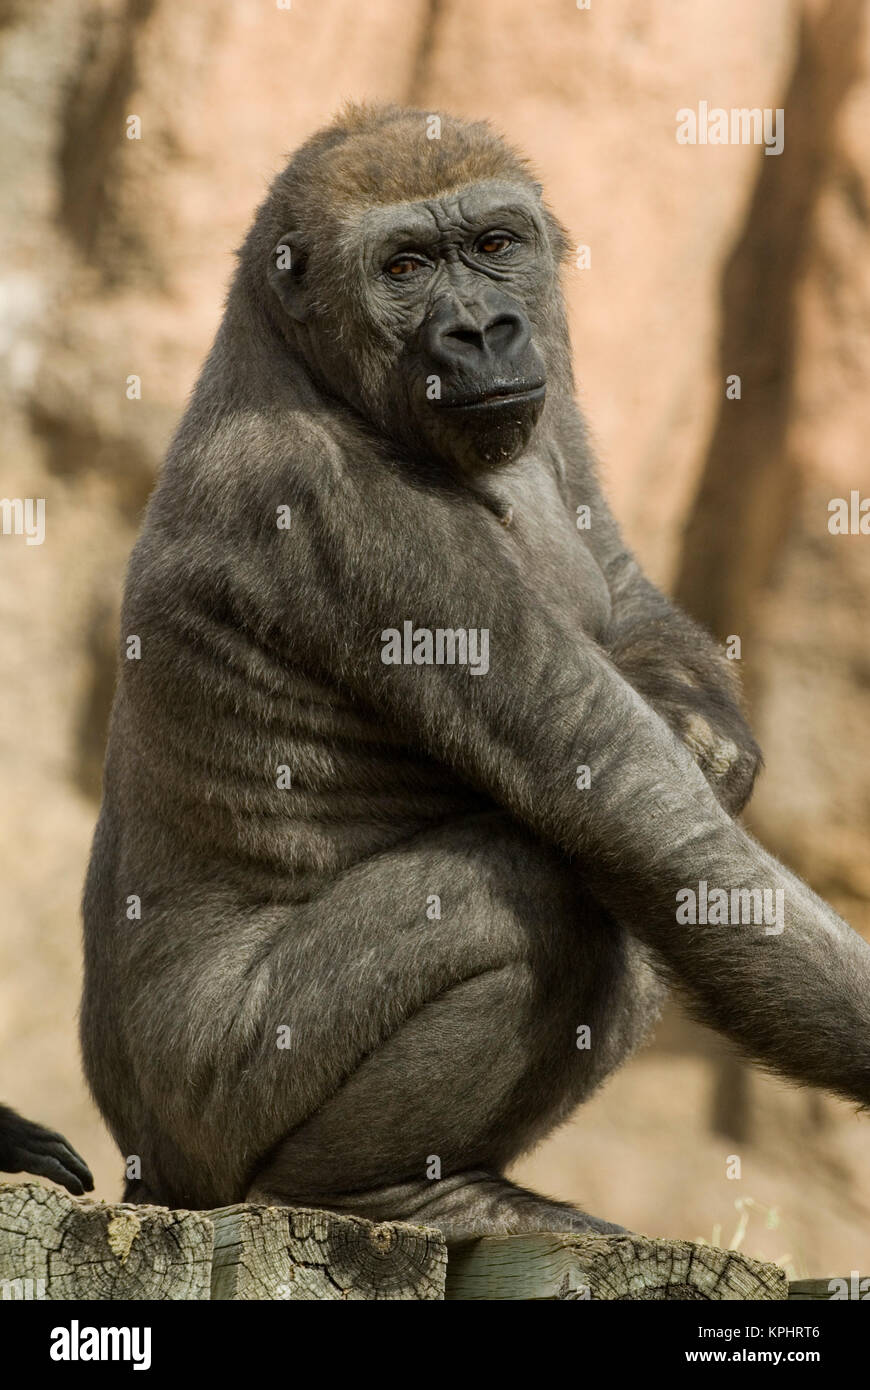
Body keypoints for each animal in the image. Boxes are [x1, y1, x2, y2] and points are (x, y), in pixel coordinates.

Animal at [79, 108, 867, 1239]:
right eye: (404, 267)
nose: (483, 333)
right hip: (205, 1110)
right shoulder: (354, 516)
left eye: (498, 244)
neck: (297, 358)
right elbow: (651, 827)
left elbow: (624, 590)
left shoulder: (552, 395)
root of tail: (146, 1168)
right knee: (537, 897)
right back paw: (386, 1192)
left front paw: (708, 731)